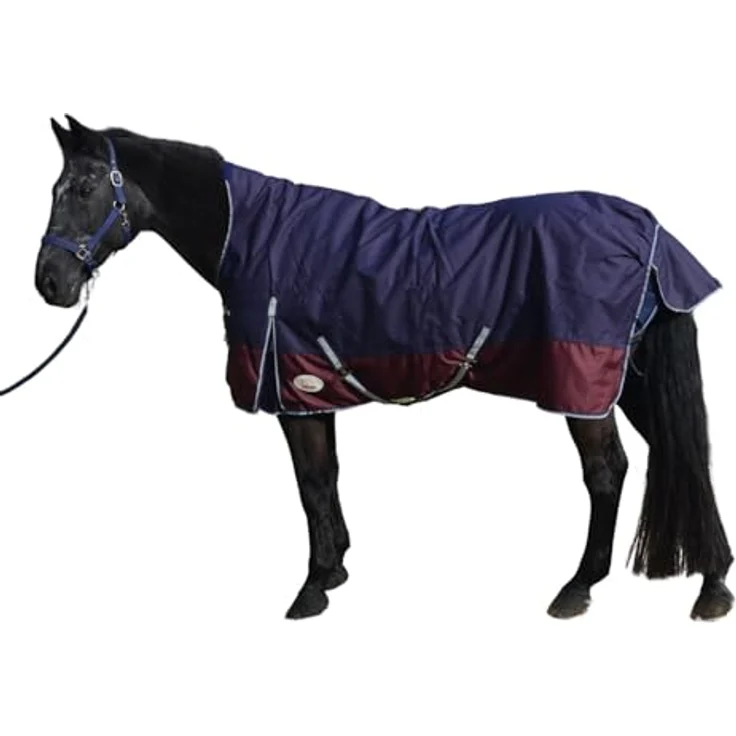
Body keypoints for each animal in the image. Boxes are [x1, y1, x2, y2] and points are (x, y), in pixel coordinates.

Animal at [34, 115, 733, 621]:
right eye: (54, 190)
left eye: (86, 187)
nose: (50, 282)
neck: (250, 236)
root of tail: (649, 232)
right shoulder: (312, 389)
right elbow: (328, 480)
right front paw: (336, 568)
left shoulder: (289, 390)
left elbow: (311, 483)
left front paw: (312, 588)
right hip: (627, 380)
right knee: (681, 452)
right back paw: (712, 583)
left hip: (584, 385)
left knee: (607, 473)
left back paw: (579, 586)